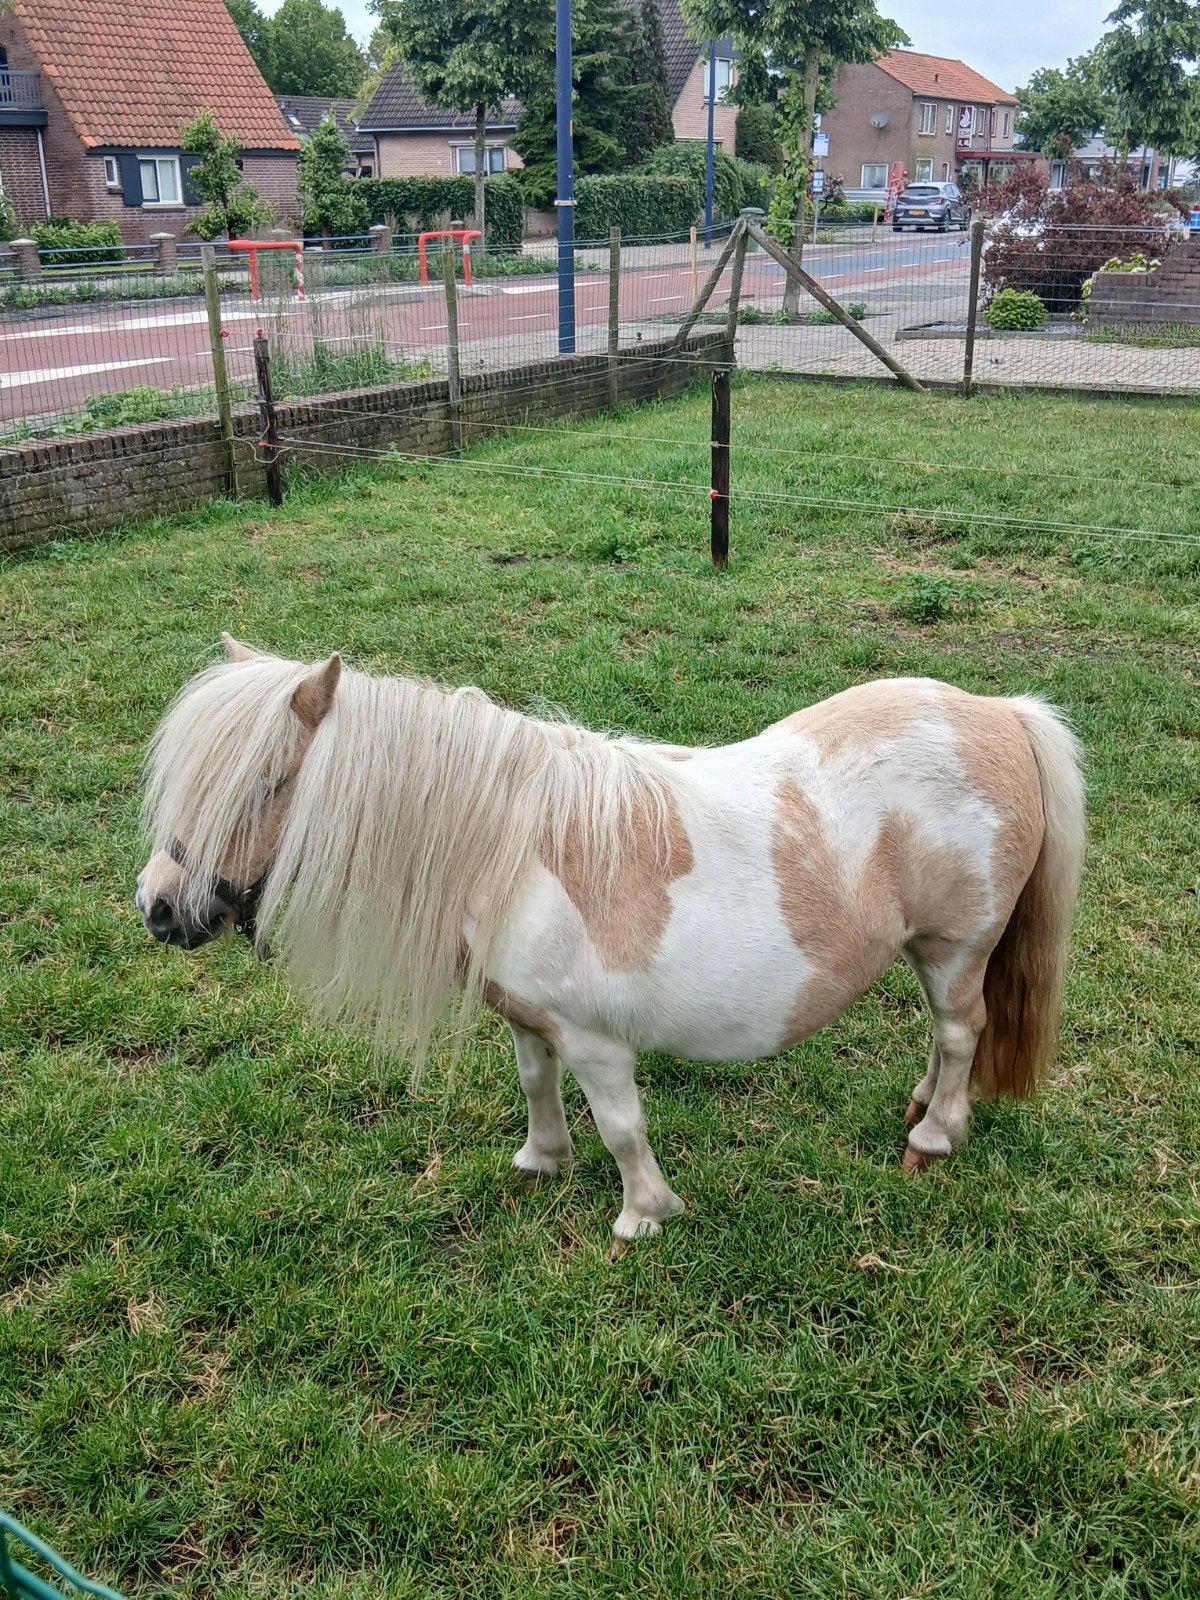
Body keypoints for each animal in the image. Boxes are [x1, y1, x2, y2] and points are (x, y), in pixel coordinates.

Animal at [137, 635, 1085, 1240]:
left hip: (957, 947)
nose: (157, 907)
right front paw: (540, 1162)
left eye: (264, 783)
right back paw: (919, 1108)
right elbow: (535, 1086)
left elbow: (623, 1127)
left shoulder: (597, 1043)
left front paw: (643, 1217)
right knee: (944, 1039)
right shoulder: (529, 1019)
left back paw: (933, 1139)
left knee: (961, 1034)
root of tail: (999, 712)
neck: (510, 851)